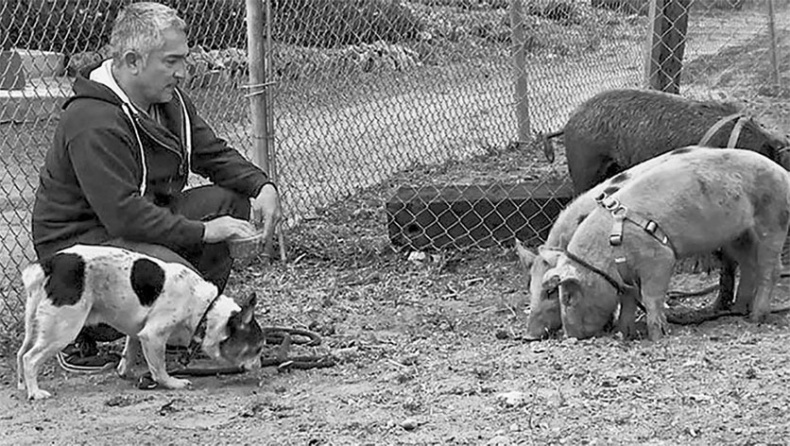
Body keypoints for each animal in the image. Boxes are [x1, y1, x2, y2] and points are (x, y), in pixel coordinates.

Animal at [17, 244, 264, 400]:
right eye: (257, 348)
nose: (260, 367)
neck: (205, 308)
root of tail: (49, 264)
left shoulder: (137, 333)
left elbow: (129, 354)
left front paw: (126, 373)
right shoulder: (153, 336)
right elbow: (160, 368)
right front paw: (172, 383)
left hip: (34, 326)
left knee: (21, 354)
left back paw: (23, 386)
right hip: (64, 329)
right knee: (30, 359)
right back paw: (35, 393)